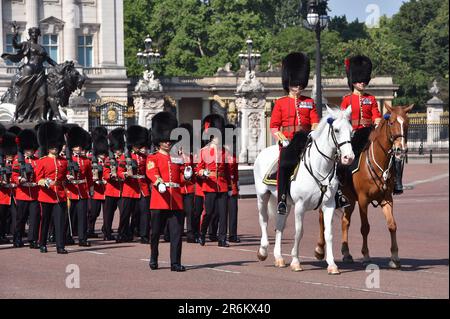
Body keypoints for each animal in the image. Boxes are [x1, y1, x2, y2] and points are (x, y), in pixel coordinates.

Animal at [253, 107, 356, 276]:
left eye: (351, 131)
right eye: (336, 130)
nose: (349, 157)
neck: (320, 167)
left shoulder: (329, 205)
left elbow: (329, 234)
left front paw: (332, 265)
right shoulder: (300, 206)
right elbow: (299, 232)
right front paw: (296, 262)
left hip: (285, 203)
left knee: (279, 226)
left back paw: (279, 258)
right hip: (262, 196)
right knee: (263, 220)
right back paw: (262, 251)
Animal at [314, 104, 414, 268]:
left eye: (406, 123)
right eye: (391, 122)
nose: (401, 149)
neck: (379, 162)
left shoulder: (387, 198)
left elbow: (392, 224)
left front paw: (394, 257)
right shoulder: (363, 200)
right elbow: (365, 227)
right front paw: (366, 255)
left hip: (349, 199)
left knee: (345, 222)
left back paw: (346, 253)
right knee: (322, 218)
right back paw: (319, 250)